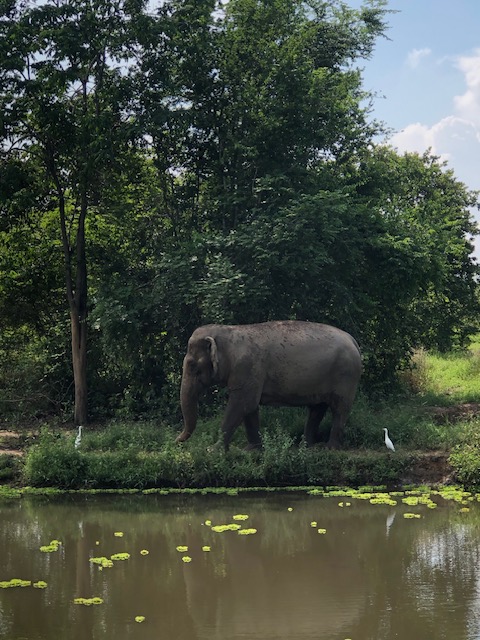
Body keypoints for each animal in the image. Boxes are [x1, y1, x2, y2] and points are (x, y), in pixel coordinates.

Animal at [177, 320, 362, 451]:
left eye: (193, 366)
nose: (177, 440)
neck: (229, 332)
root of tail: (353, 340)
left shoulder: (247, 368)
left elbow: (242, 404)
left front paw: (212, 450)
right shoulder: (249, 376)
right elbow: (250, 407)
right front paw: (252, 450)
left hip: (345, 376)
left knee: (339, 409)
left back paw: (330, 447)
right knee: (317, 408)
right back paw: (305, 446)